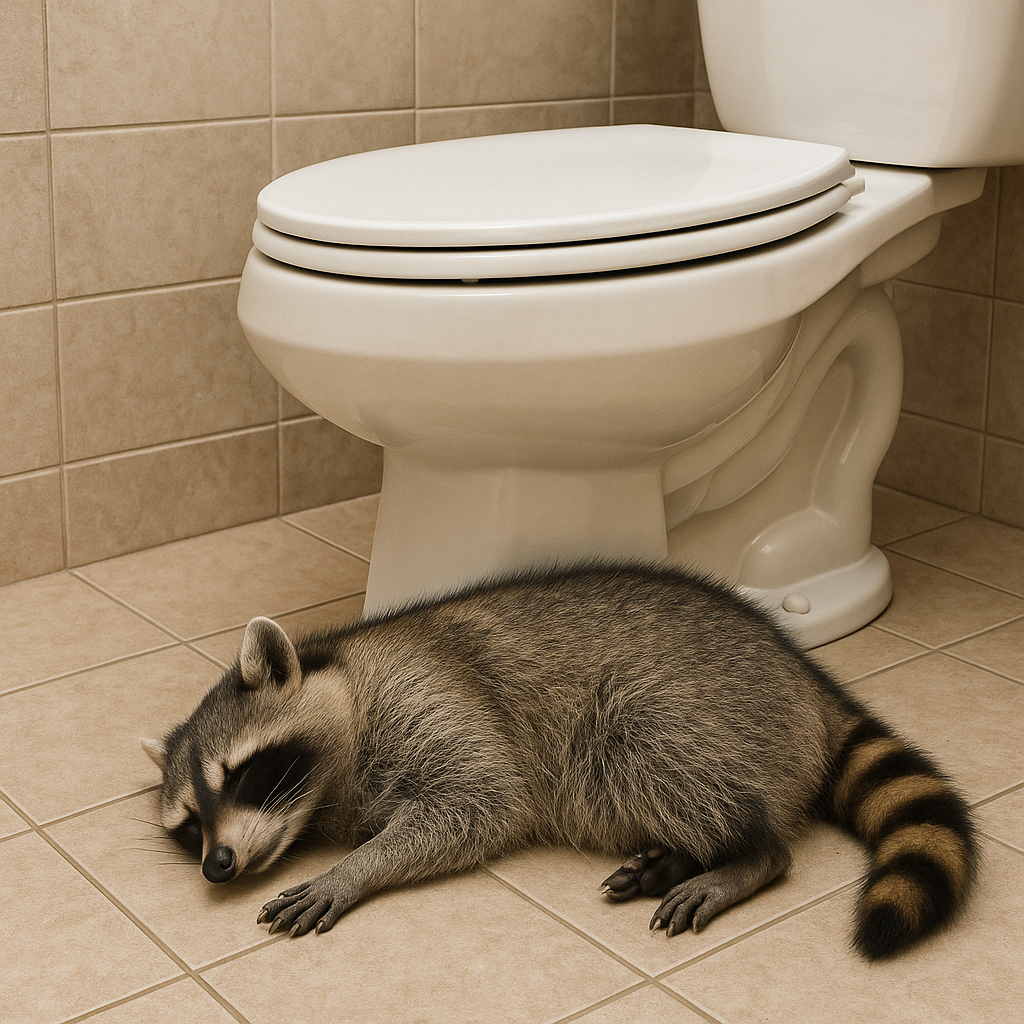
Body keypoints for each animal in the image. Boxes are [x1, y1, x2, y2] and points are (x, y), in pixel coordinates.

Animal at [142, 562, 977, 960]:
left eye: (242, 774)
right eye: (188, 824)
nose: (217, 863)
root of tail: (806, 678)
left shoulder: (429, 696)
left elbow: (481, 803)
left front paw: (355, 868)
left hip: (701, 709)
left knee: (642, 737)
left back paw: (747, 852)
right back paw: (683, 855)